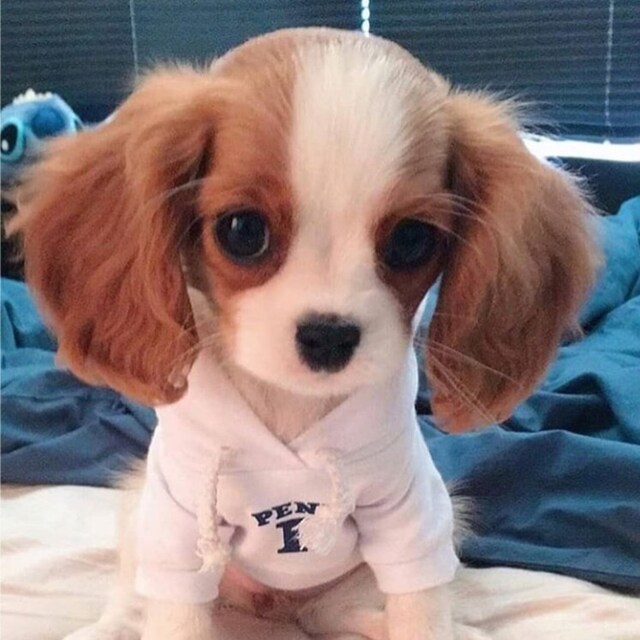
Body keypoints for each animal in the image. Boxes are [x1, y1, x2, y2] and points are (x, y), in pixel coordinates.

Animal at [11, 27, 598, 640]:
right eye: (243, 231)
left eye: (411, 240)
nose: (328, 337)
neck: (292, 408)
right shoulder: (177, 531)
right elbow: (173, 615)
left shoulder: (413, 520)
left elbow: (420, 611)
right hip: (140, 513)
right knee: (131, 595)